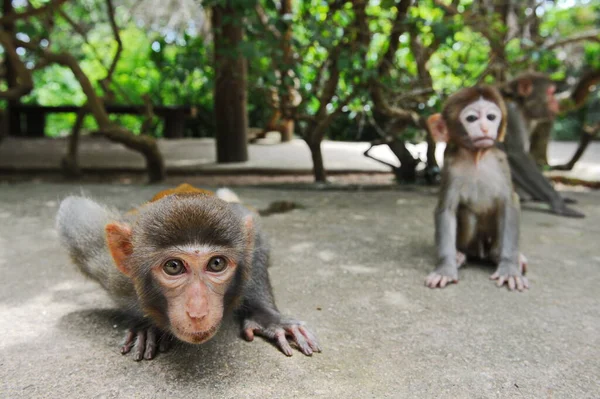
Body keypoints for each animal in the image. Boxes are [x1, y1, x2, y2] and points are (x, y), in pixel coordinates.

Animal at [55, 184, 318, 362]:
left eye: (216, 264)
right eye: (173, 266)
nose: (197, 312)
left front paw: (267, 316)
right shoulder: (112, 271)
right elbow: (74, 212)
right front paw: (145, 324)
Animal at [424, 86, 528, 292]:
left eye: (491, 117)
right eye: (471, 118)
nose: (486, 128)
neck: (477, 157)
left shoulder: (501, 162)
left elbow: (509, 204)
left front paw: (509, 268)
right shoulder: (451, 167)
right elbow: (446, 210)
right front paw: (445, 268)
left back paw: (499, 254)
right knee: (469, 215)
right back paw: (460, 255)